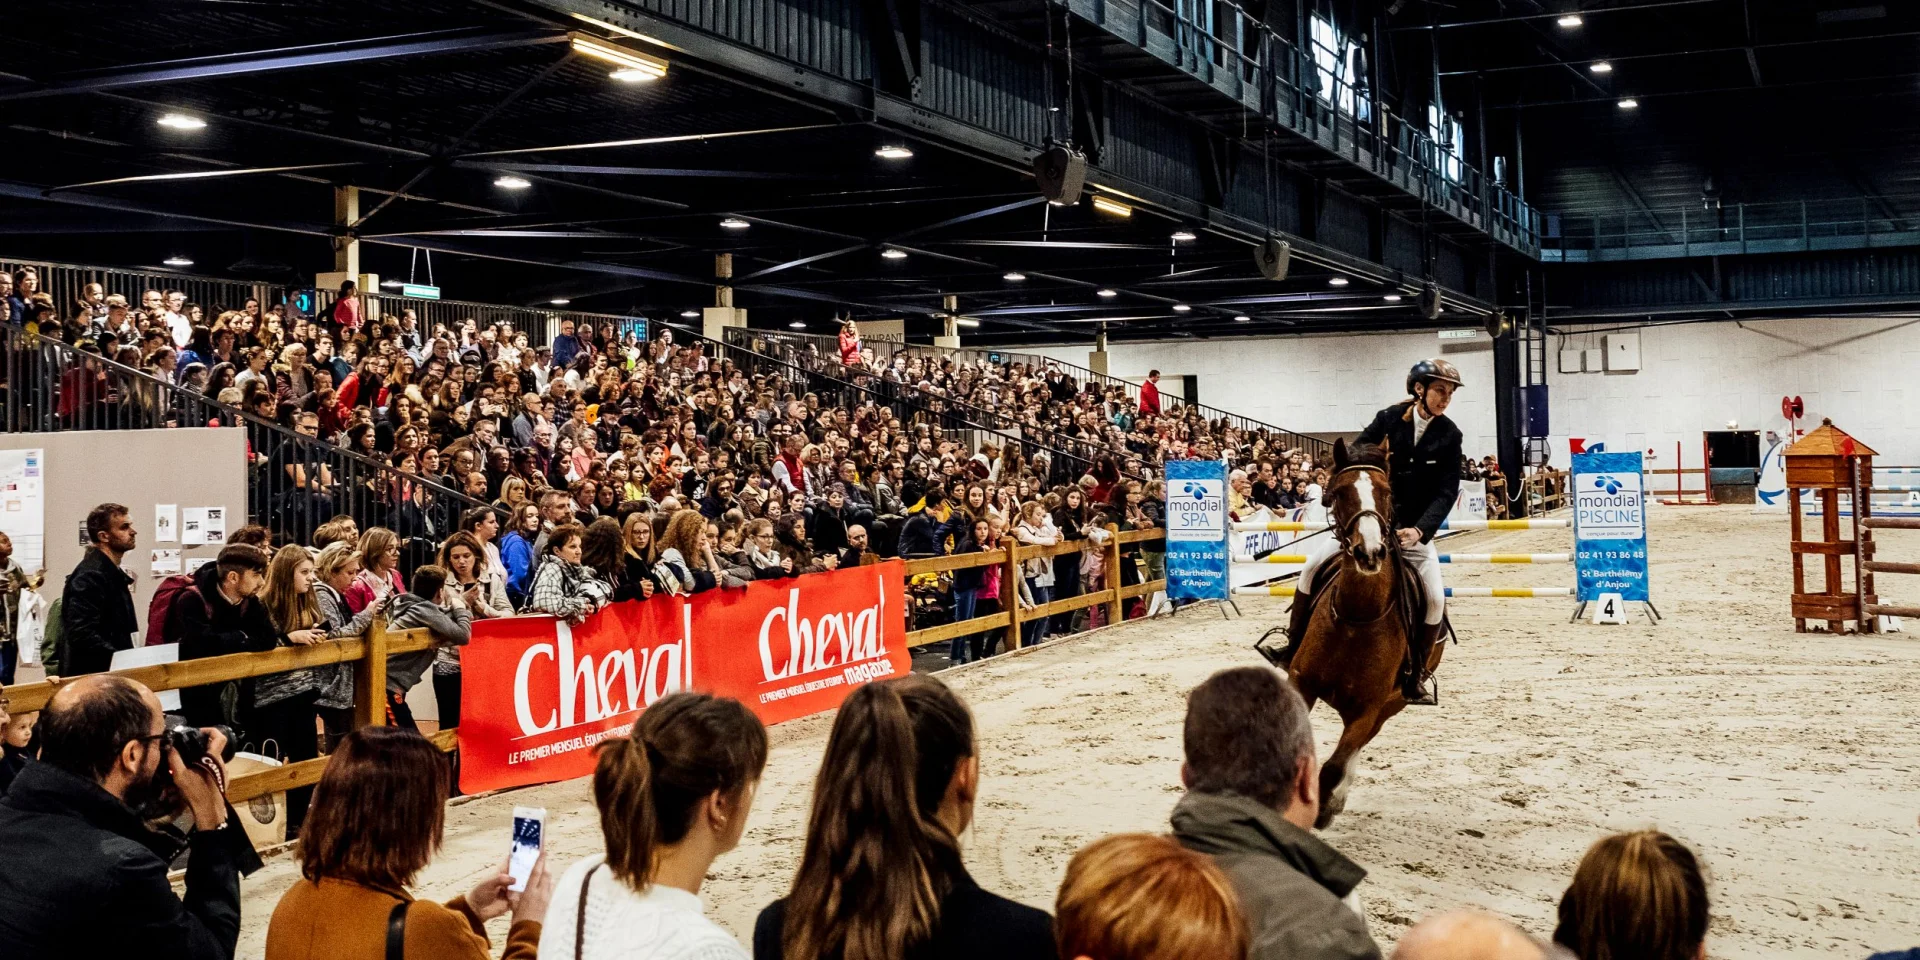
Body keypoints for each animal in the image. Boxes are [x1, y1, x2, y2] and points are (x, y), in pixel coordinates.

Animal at [1262, 438, 1445, 829]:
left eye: (1387, 492)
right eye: (1340, 492)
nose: (1370, 552)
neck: (1357, 618)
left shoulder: (1369, 709)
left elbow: (1334, 765)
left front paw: (1323, 807)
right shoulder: (1301, 682)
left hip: (1391, 706)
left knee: (1357, 749)